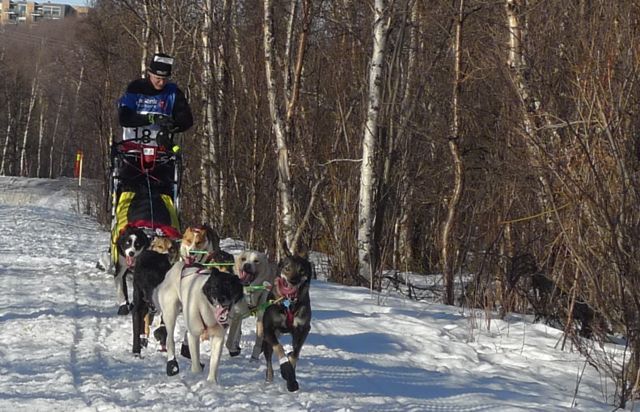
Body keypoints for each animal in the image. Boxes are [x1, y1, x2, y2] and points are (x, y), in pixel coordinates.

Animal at [262, 243, 312, 392]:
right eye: (287, 268)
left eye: (302, 270)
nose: (293, 281)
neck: (289, 304)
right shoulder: (268, 329)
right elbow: (279, 348)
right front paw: (285, 368)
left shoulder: (303, 329)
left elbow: (295, 354)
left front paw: (291, 379)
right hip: (266, 340)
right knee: (269, 360)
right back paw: (269, 379)